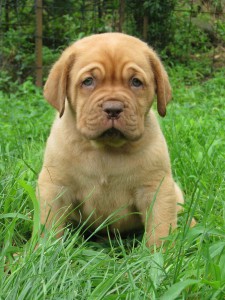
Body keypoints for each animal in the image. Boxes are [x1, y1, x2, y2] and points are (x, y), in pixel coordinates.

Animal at [37, 32, 185, 246]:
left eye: (136, 82)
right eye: (88, 81)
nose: (113, 108)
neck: (105, 149)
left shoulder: (157, 188)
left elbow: (161, 228)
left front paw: (162, 254)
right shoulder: (55, 186)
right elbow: (49, 227)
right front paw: (43, 250)